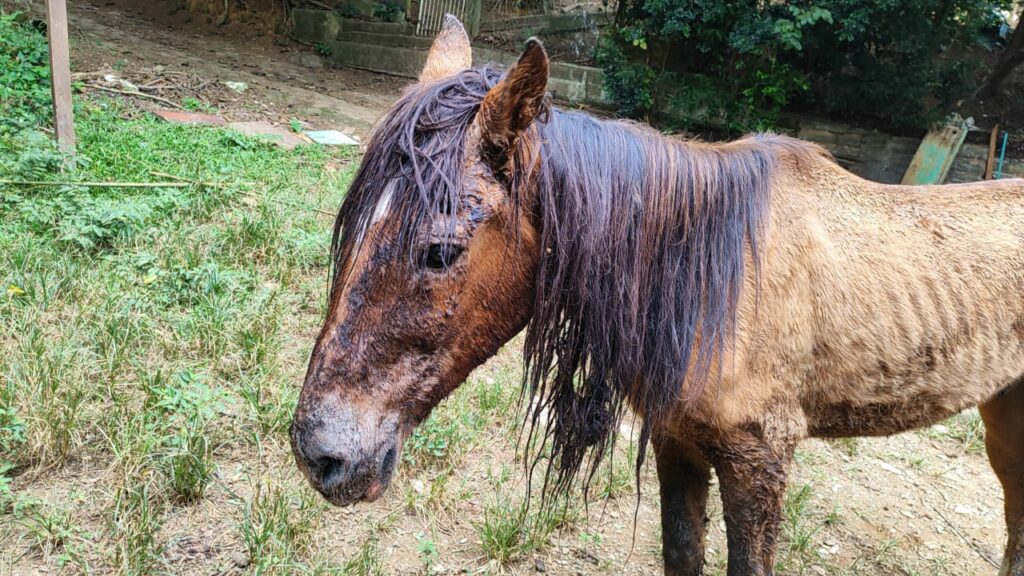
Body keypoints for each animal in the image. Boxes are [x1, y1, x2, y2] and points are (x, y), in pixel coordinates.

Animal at [290, 15, 1024, 576]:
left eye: (440, 249)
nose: (320, 455)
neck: (711, 276)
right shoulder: (679, 443)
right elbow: (682, 555)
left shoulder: (761, 459)